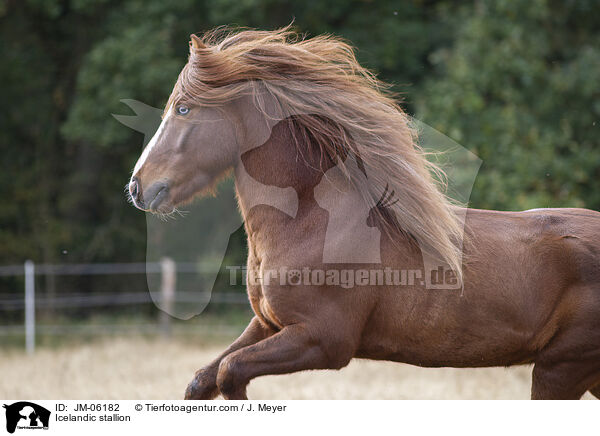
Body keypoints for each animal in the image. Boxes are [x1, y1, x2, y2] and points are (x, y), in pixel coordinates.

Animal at [129, 27, 600, 398]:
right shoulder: (267, 324)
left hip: (560, 368)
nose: (137, 187)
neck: (310, 222)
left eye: (183, 108)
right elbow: (203, 379)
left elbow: (230, 373)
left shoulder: (323, 341)